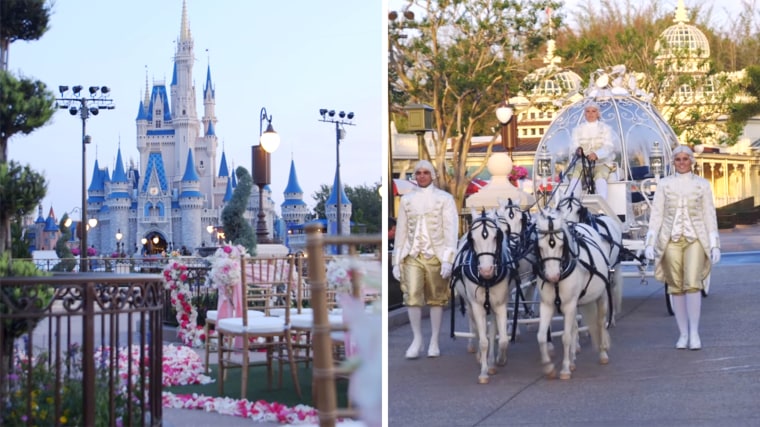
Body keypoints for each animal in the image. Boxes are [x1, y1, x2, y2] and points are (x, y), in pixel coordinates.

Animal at [454, 209, 512, 386]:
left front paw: (498, 360)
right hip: (469, 304)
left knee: (492, 331)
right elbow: (484, 340)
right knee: (476, 329)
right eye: (473, 239)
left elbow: (502, 339)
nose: (486, 270)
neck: (487, 281)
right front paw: (484, 372)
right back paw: (479, 355)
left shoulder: (500, 305)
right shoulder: (477, 306)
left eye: (496, 237)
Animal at [536, 209, 612, 380]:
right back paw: (571, 360)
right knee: (573, 329)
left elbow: (565, 337)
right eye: (540, 246)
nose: (552, 277)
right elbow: (542, 336)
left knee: (600, 323)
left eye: (561, 245)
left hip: (601, 296)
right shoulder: (547, 305)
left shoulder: (570, 304)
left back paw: (603, 354)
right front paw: (549, 367)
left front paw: (564, 370)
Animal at [552, 196, 624, 326]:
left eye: (578, 211)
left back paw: (612, 317)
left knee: (611, 288)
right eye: (559, 209)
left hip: (614, 266)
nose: (568, 226)